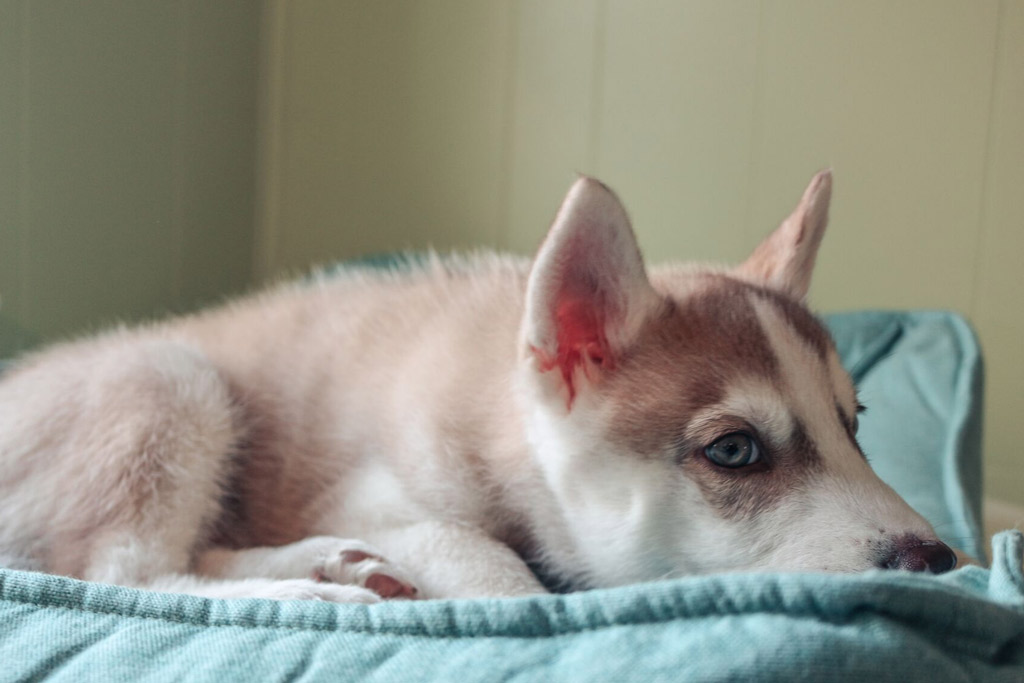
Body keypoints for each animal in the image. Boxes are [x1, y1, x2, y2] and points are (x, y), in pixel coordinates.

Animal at [0, 172, 958, 602]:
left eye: (855, 422)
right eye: (734, 449)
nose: (942, 562)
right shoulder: (381, 491)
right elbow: (481, 557)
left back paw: (330, 563)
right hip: (172, 379)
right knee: (127, 572)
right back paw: (310, 586)